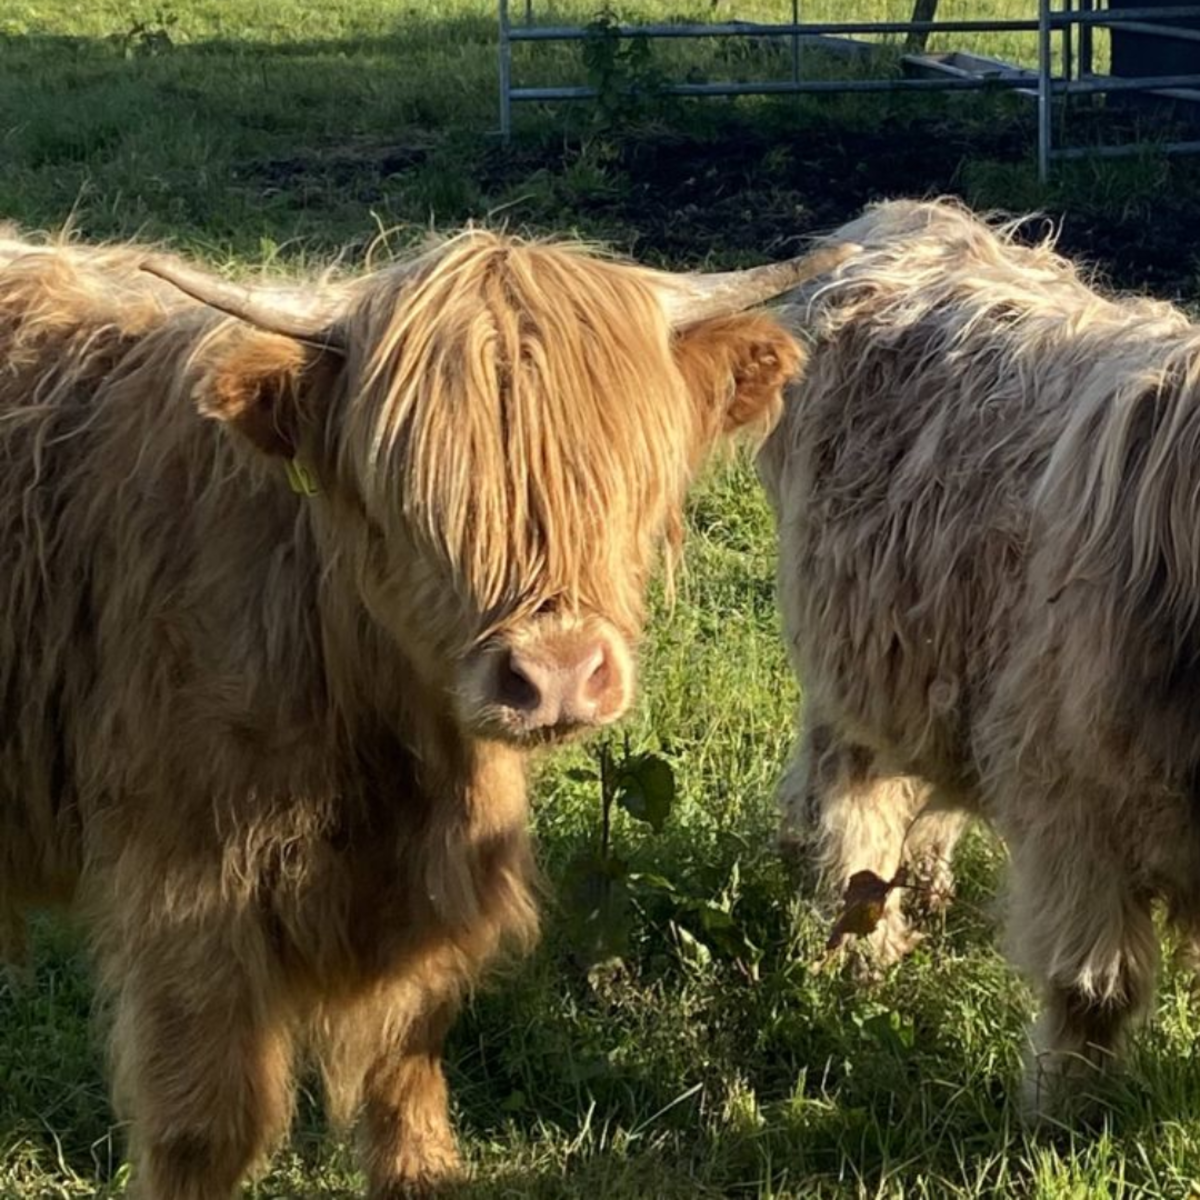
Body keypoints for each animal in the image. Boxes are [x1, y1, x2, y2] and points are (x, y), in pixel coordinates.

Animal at [0, 224, 848, 1199]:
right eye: (417, 502)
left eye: (625, 483)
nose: (557, 674)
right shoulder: (183, 887)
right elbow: (202, 1129)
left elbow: (405, 1084)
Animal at [759, 196, 1200, 1117]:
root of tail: (906, 218)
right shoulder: (1077, 803)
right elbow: (1093, 984)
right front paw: (1067, 1114)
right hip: (853, 654)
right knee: (845, 792)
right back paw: (863, 940)